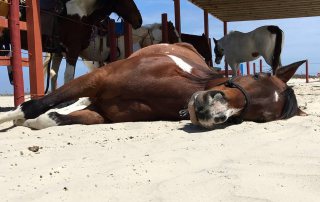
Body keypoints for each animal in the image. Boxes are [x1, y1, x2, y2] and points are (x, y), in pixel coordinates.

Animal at [0, 43, 306, 130]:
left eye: (260, 117)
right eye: (257, 77)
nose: (209, 109)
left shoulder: (102, 114)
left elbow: (51, 118)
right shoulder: (97, 78)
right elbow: (32, 106)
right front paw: (12, 118)